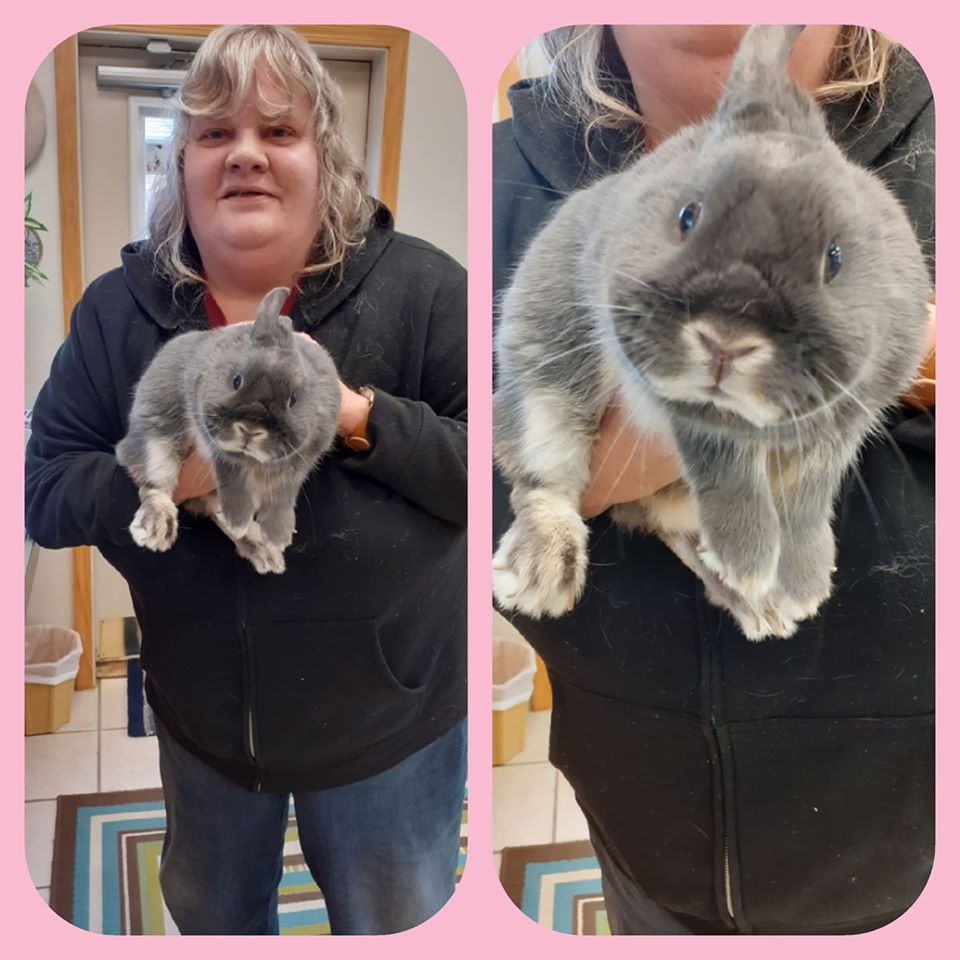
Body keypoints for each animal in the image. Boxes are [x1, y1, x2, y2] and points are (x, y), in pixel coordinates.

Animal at [116, 286, 341, 575]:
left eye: (293, 399)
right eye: (236, 380)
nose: (250, 428)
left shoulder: (301, 461)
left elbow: (283, 494)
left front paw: (279, 534)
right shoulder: (215, 444)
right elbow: (232, 477)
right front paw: (239, 517)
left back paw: (264, 551)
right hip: (155, 435)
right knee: (153, 483)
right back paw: (157, 528)